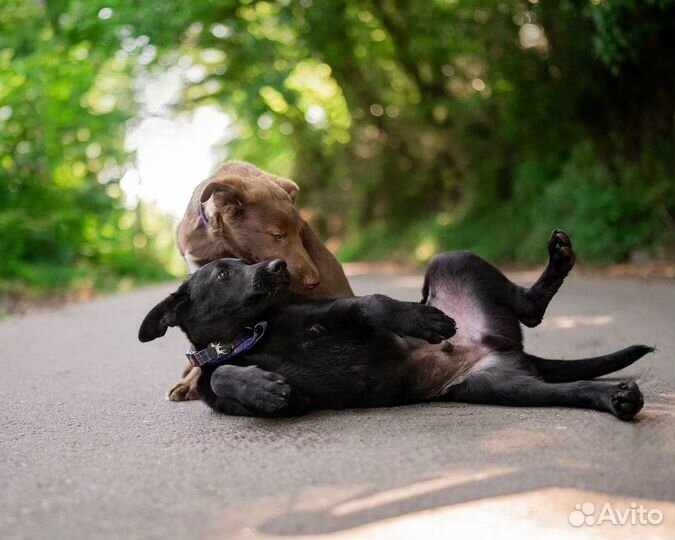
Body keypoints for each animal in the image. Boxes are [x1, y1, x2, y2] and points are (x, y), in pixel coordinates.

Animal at [140, 230, 652, 420]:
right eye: (223, 274)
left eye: (246, 262)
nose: (277, 267)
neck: (248, 338)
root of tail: (499, 347)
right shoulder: (275, 398)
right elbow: (221, 376)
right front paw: (261, 386)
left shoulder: (331, 312)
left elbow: (373, 304)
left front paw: (419, 319)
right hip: (505, 387)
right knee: (569, 387)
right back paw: (615, 398)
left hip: (452, 258)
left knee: (529, 307)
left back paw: (558, 260)